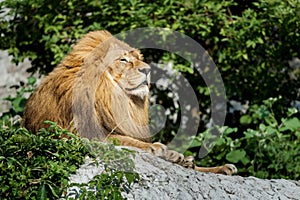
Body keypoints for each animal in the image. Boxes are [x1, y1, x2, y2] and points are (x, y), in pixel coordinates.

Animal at [22, 30, 237, 175]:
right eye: (123, 60)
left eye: (137, 58)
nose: (148, 69)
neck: (112, 95)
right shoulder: (80, 134)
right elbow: (122, 139)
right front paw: (159, 149)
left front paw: (214, 166)